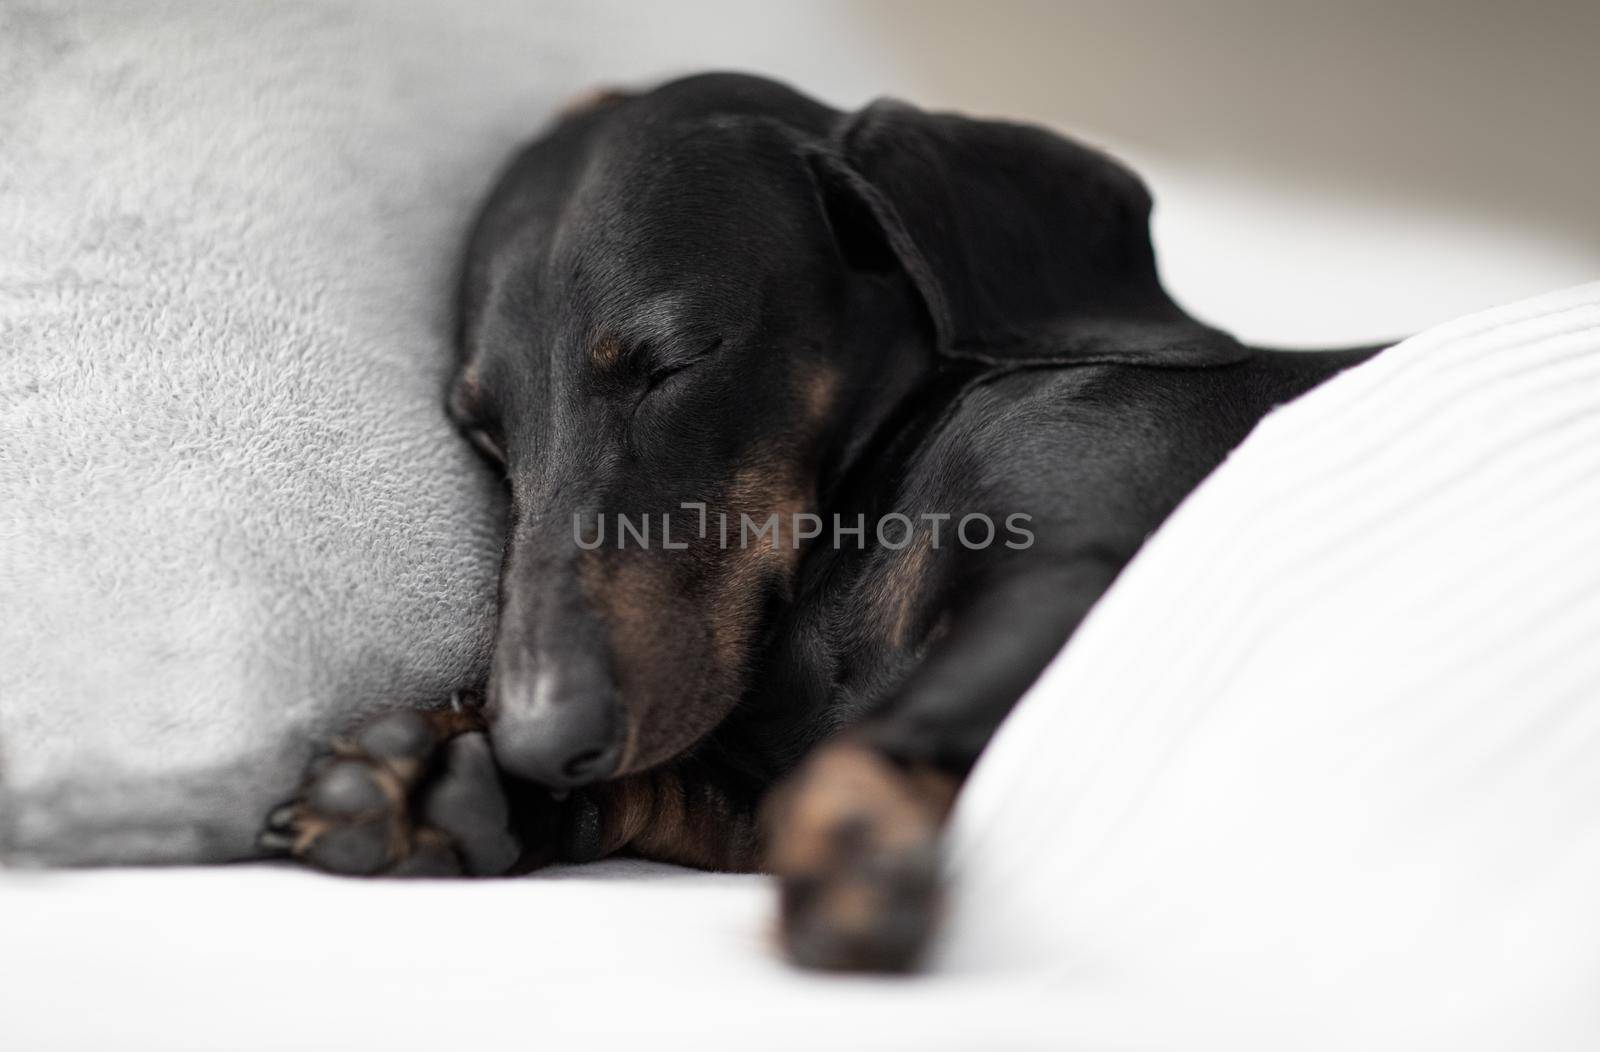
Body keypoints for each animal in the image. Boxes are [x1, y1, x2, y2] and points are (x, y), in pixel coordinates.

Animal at [259, 73, 1376, 972]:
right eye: (483, 430)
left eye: (676, 361)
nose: (540, 738)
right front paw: (439, 776)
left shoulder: (1076, 561)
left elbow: (883, 731)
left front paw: (853, 838)